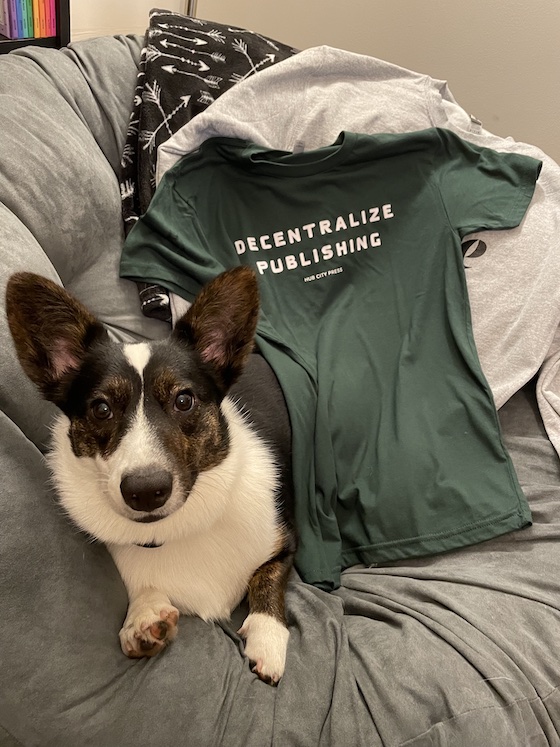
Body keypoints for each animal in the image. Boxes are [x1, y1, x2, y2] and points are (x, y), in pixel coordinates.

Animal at [6, 266, 296, 688]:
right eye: (101, 408)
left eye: (184, 400)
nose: (145, 492)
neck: (178, 528)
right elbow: (146, 593)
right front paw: (142, 621)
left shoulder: (285, 543)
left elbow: (268, 577)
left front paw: (267, 639)